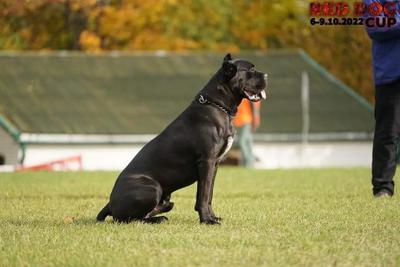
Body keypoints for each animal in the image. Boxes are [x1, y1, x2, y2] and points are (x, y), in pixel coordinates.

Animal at [96, 53, 268, 225]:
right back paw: (158, 220)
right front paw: (207, 220)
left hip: (165, 197)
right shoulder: (207, 161)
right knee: (130, 219)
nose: (267, 75)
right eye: (251, 70)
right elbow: (203, 195)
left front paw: (212, 217)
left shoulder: (215, 163)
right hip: (152, 187)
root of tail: (109, 204)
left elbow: (209, 194)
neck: (217, 105)